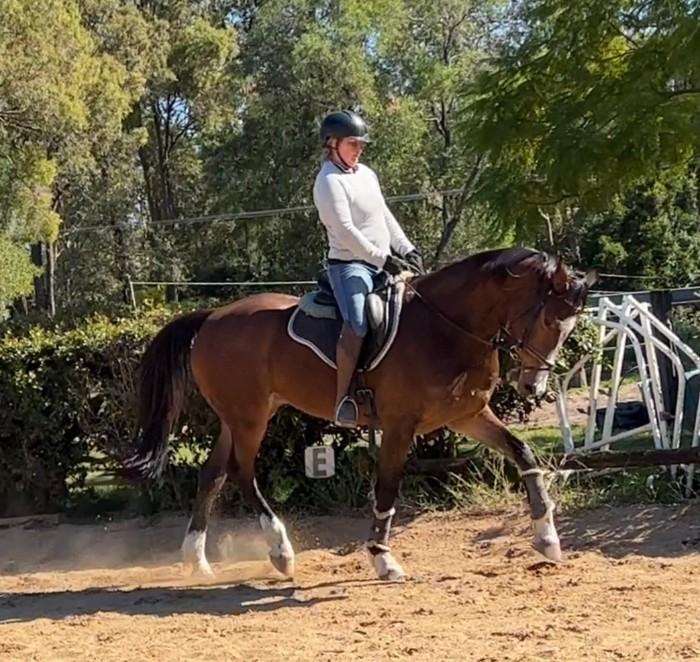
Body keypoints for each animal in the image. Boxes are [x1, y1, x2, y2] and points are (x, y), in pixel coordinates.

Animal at [124, 246, 596, 580]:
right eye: (550, 321)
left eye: (570, 326)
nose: (532, 387)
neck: (446, 327)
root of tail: (213, 317)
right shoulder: (401, 426)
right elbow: (387, 488)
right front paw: (382, 559)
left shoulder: (467, 415)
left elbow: (524, 454)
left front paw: (547, 538)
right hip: (250, 417)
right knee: (242, 472)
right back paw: (280, 551)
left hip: (237, 416)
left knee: (213, 474)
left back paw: (197, 561)